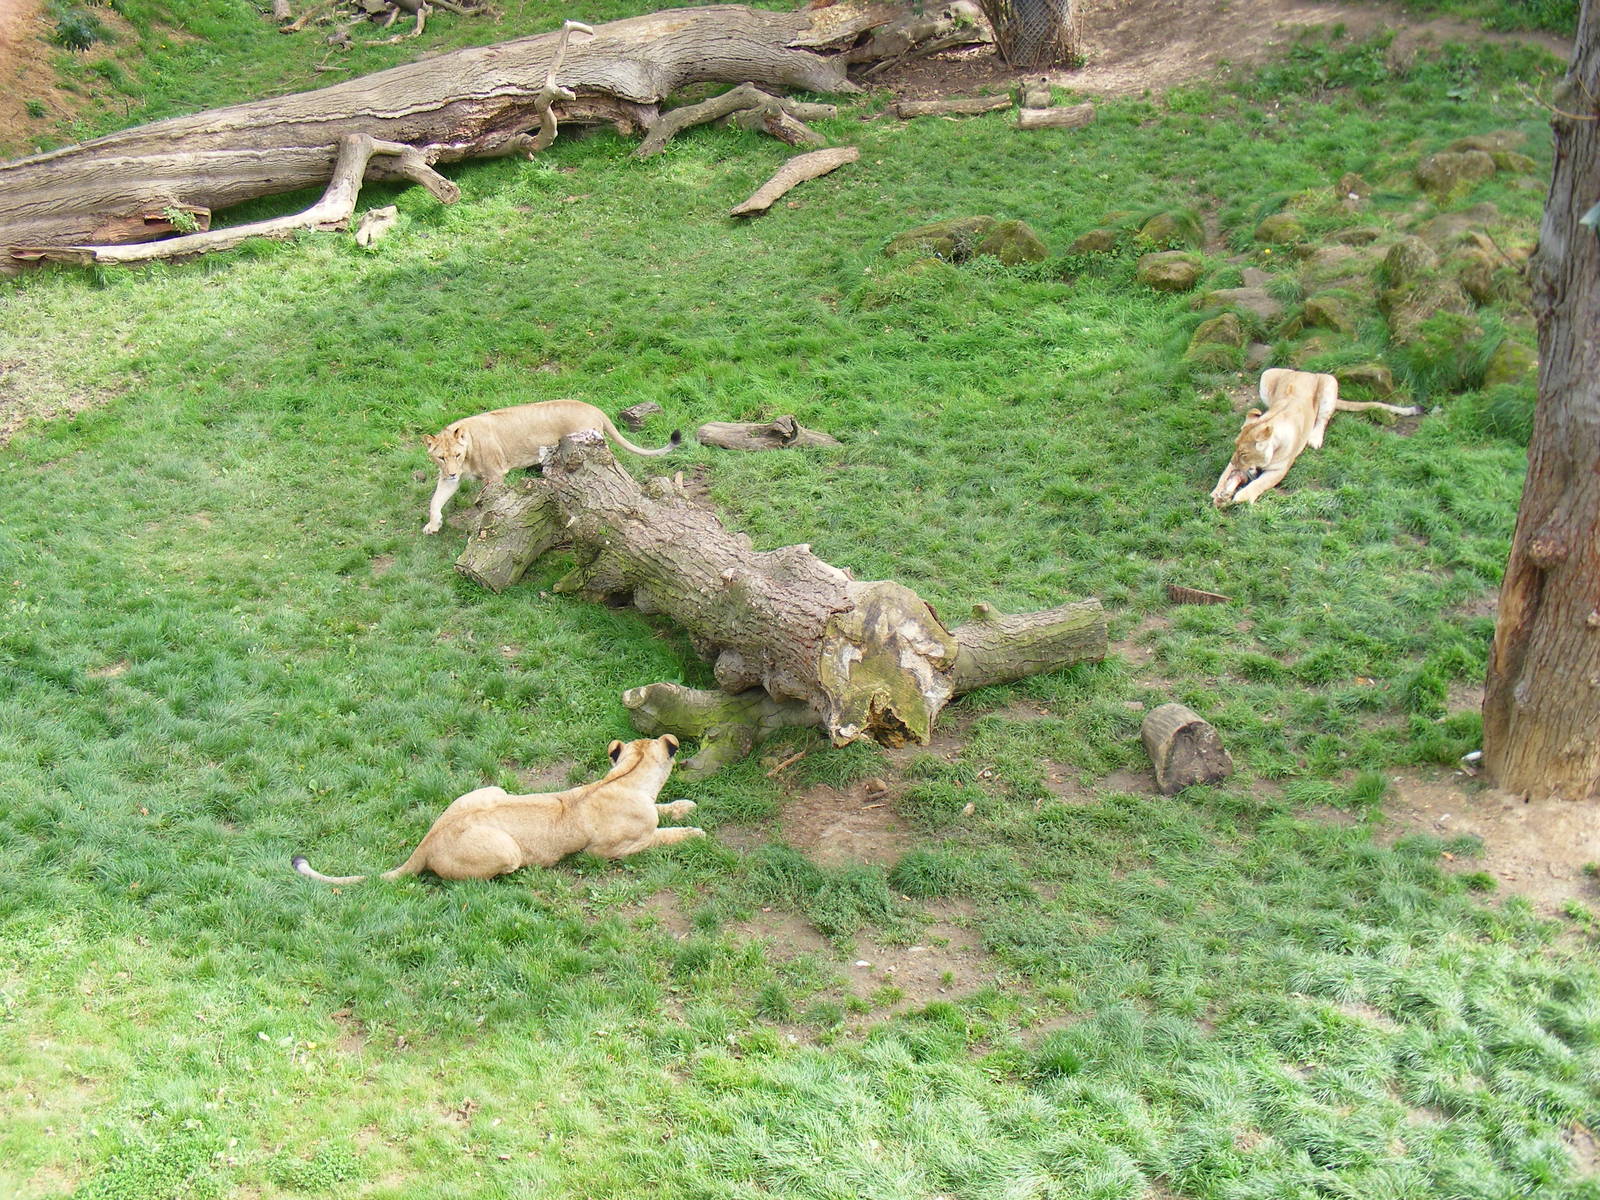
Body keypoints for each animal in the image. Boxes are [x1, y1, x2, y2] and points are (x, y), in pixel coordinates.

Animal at [291, 735, 702, 883]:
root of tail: (427, 842)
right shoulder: (610, 852)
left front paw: (685, 805)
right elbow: (661, 837)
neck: (625, 778)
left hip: (490, 789)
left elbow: (665, 811)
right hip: (507, 850)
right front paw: (694, 833)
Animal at [422, 399, 682, 533]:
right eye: (441, 458)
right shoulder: (448, 478)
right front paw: (433, 525)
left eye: (457, 454)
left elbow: (490, 502)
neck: (467, 454)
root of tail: (593, 407)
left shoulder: (495, 474)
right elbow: (435, 501)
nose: (452, 472)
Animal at [1210, 368, 1423, 507]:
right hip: (1267, 375)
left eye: (1244, 454)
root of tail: (1306, 372)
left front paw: (1242, 496)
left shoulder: (1280, 470)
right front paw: (1217, 491)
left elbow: (1260, 483)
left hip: (1330, 383)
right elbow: (1224, 474)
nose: (1236, 462)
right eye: (1235, 448)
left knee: (1323, 418)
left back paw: (1314, 439)